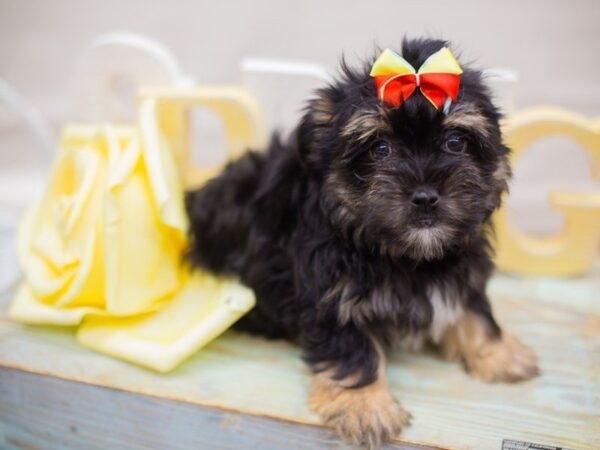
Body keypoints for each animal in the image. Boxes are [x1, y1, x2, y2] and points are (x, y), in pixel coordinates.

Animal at [184, 37, 540, 446]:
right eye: (380, 148)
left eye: (455, 142)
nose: (425, 196)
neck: (403, 255)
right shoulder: (331, 292)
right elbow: (351, 346)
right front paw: (364, 406)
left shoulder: (461, 260)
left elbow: (473, 307)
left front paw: (497, 353)